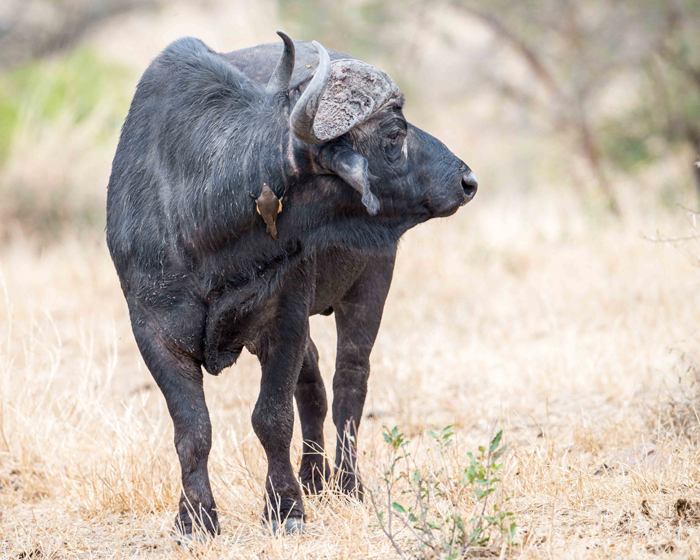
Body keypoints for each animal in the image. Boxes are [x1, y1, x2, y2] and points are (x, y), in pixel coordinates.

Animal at [106, 31, 478, 541]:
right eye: (394, 135)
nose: (467, 180)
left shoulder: (284, 319)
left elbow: (272, 419)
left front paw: (285, 508)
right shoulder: (154, 331)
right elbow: (192, 428)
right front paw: (195, 517)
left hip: (371, 283)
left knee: (348, 384)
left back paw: (346, 483)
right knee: (315, 385)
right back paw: (314, 476)